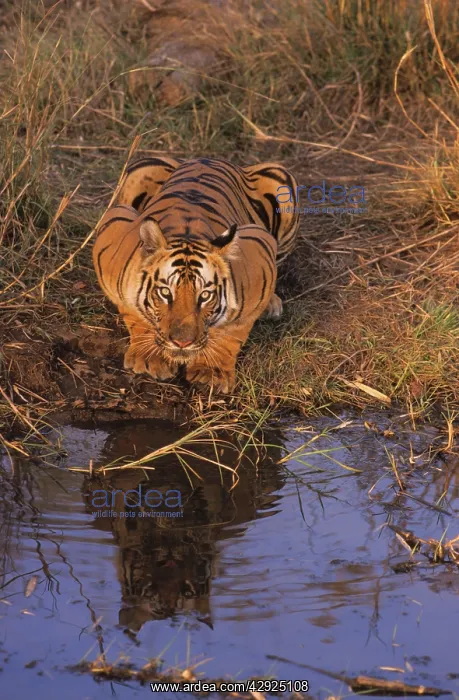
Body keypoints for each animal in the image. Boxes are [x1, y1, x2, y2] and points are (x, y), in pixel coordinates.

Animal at [93, 156, 299, 393]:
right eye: (165, 293)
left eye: (205, 296)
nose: (183, 343)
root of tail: (210, 157)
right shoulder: (112, 230)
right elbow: (133, 312)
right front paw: (149, 359)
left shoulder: (261, 252)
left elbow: (232, 332)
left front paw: (212, 372)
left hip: (282, 180)